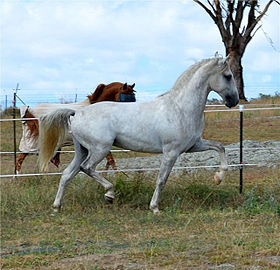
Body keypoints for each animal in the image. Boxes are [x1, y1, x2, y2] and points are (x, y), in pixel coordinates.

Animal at [38, 56, 238, 213]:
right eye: (228, 76)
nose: (234, 101)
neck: (180, 108)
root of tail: (77, 113)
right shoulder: (171, 152)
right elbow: (161, 180)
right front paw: (154, 208)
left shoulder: (192, 145)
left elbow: (219, 147)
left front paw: (219, 177)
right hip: (99, 149)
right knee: (87, 168)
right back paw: (109, 194)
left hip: (83, 150)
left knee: (67, 174)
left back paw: (56, 207)